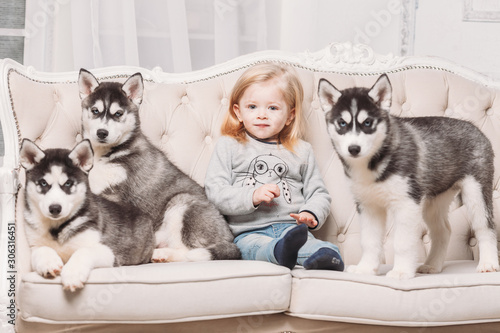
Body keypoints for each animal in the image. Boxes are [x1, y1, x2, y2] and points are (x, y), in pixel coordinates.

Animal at [20, 139, 154, 290]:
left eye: (68, 183)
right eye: (43, 183)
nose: (55, 208)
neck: (58, 227)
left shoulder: (110, 252)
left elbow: (84, 251)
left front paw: (72, 274)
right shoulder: (34, 243)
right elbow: (41, 249)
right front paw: (48, 262)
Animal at [77, 69, 240, 262]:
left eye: (118, 114)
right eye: (95, 111)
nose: (102, 132)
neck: (105, 154)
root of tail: (230, 238)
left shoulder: (115, 195)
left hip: (181, 204)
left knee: (189, 252)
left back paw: (163, 254)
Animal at [318, 74, 498, 278]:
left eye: (367, 123)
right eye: (342, 123)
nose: (354, 149)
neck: (374, 162)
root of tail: (477, 129)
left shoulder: (407, 203)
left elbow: (402, 242)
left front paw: (401, 272)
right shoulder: (368, 206)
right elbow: (369, 241)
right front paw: (366, 268)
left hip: (476, 191)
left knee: (485, 226)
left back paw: (488, 263)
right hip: (434, 201)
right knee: (443, 231)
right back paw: (432, 265)